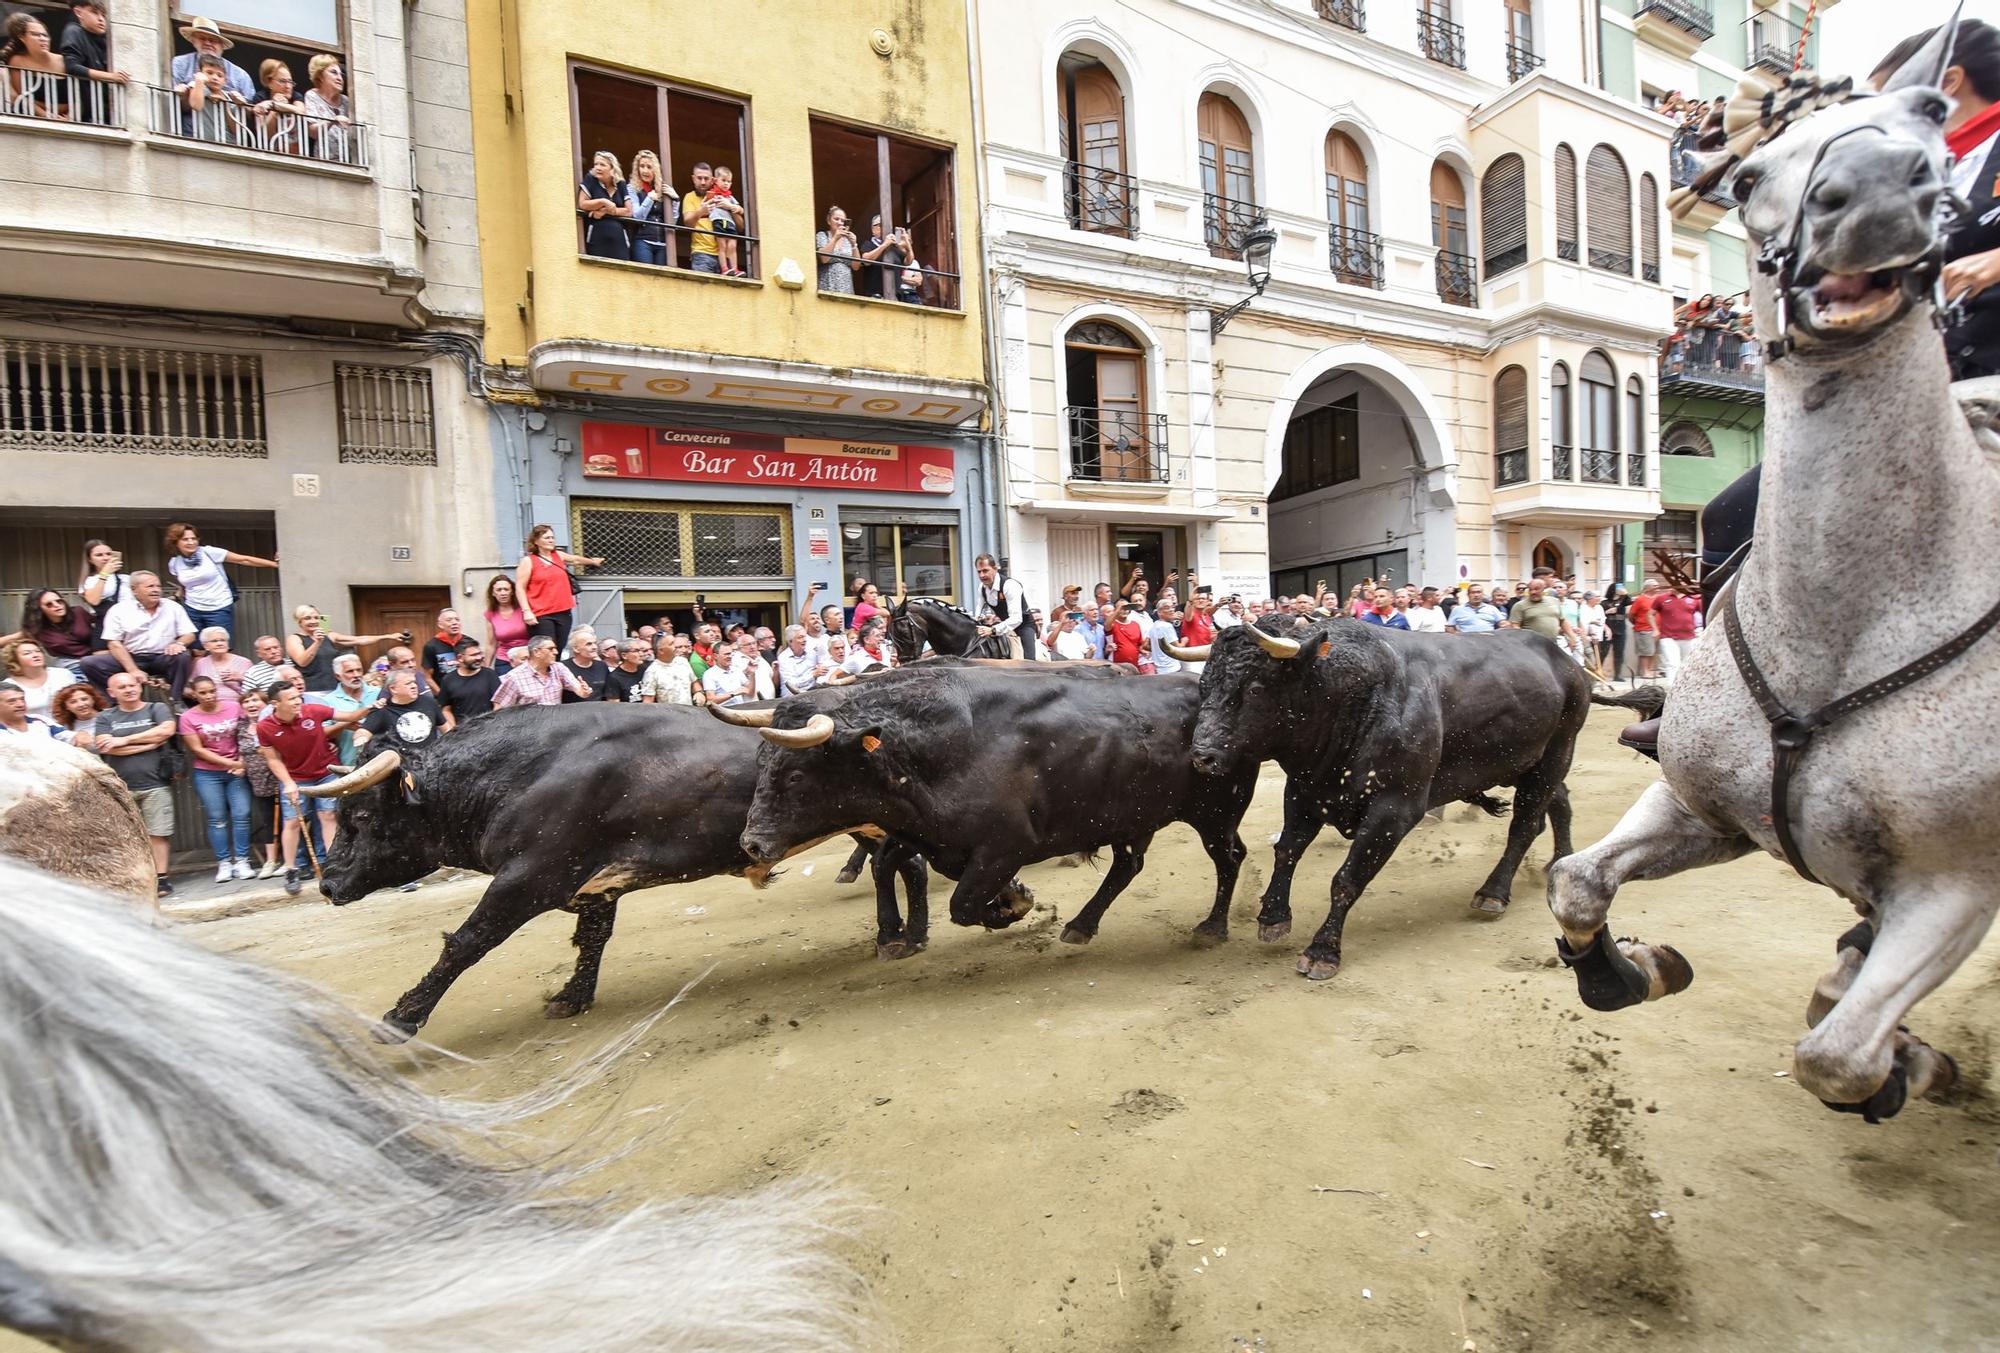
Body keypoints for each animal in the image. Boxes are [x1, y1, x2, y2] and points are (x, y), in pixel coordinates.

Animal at [0, 860, 876, 1344]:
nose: (326, 880)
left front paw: (398, 1020)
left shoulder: (533, 874)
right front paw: (569, 997)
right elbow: (587, 930)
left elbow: (469, 940)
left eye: (360, 816)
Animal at [744, 664, 1256, 940]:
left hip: (1217, 814)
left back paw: (1214, 926)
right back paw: (1082, 924)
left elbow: (963, 905)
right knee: (1127, 866)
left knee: (1230, 858)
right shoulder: (935, 840)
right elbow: (894, 863)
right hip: (1133, 817)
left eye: (795, 774)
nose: (751, 843)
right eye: (760, 762)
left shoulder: (1005, 845)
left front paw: (1012, 906)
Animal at [1184, 616, 1592, 976]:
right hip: (1533, 764)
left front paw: (1322, 951)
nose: (1202, 756)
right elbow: (1287, 850)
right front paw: (1273, 916)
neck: (1353, 697)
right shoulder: (1305, 791)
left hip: (1556, 755)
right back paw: (1560, 863)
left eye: (1254, 688)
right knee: (1556, 806)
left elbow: (1347, 878)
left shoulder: (1394, 809)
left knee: (1523, 826)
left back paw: (1493, 893)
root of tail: (1568, 662)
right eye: (1204, 684)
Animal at [1552, 13, 1992, 1120]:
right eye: (1749, 172)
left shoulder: (1957, 881)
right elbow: (1577, 879)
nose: (1875, 195)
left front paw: (1898, 1065)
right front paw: (1628, 966)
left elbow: (1836, 1057)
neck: (1841, 626)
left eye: (1930, 112)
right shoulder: (1703, 803)